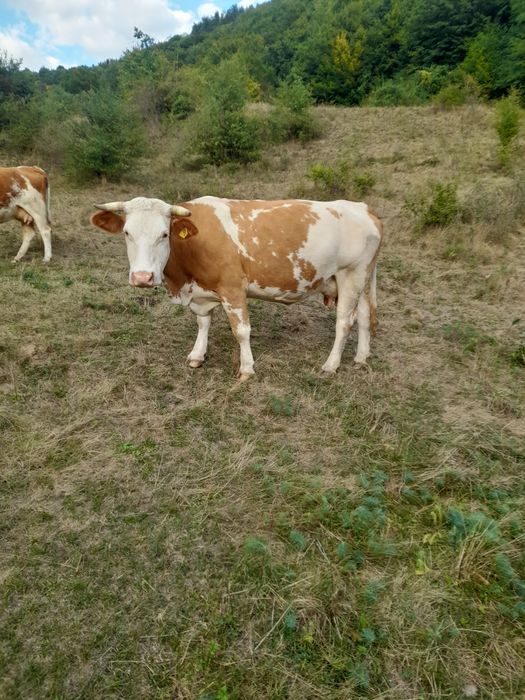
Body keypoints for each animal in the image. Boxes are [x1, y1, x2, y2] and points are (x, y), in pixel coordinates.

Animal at [90, 196, 382, 379]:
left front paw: (247, 369)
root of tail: (363, 208)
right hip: (365, 277)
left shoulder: (232, 288)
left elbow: (241, 331)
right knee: (365, 317)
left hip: (351, 274)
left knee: (344, 322)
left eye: (164, 234)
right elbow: (203, 323)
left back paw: (331, 365)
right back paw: (361, 358)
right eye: (127, 233)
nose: (142, 277)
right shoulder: (202, 293)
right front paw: (197, 354)